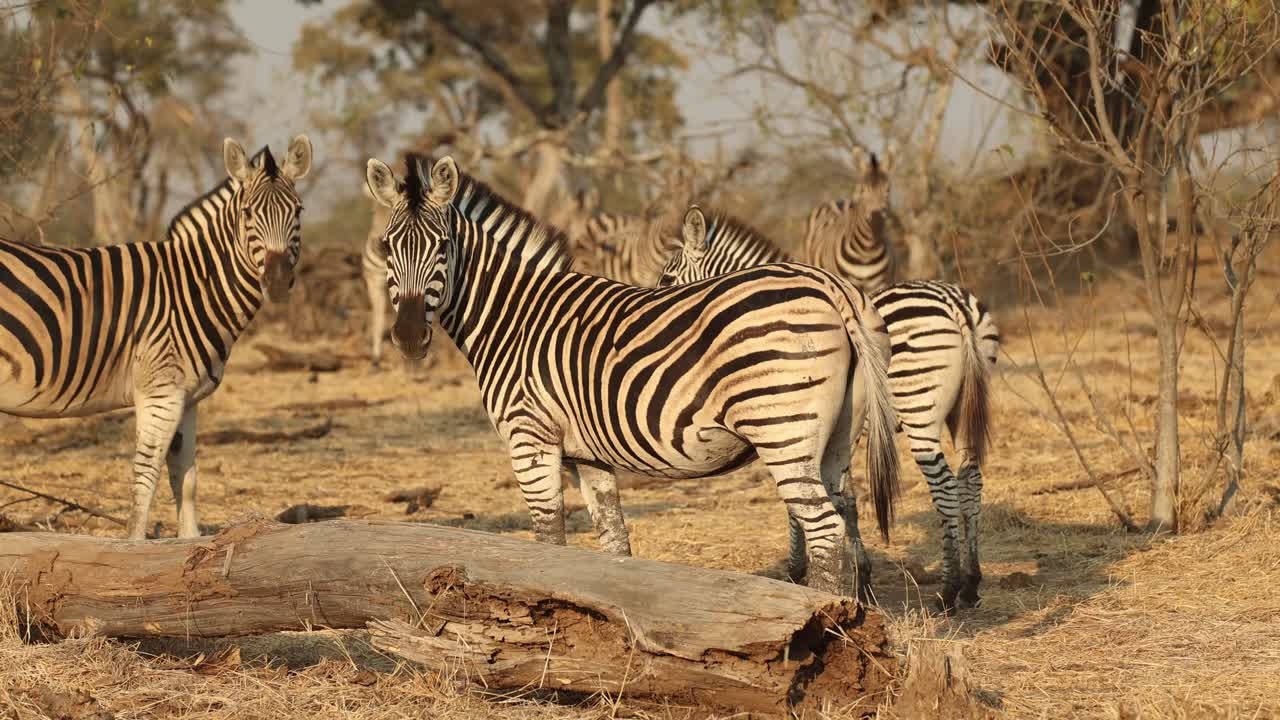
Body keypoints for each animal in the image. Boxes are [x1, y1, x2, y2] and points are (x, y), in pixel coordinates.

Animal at [0, 135, 312, 540]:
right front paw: (134, 546)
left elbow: (186, 478)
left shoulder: (188, 399)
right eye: (247, 214)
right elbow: (144, 480)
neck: (189, 287)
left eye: (298, 211)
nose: (276, 280)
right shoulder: (160, 394)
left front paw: (190, 544)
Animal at [657, 207, 999, 612]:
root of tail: (954, 302)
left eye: (667, 278)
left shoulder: (789, 425)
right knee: (971, 479)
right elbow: (845, 503)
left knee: (946, 486)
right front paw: (860, 580)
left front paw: (802, 573)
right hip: (962, 410)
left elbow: (805, 506)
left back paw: (948, 590)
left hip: (919, 408)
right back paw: (971, 584)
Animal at [805, 147, 897, 295]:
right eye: (862, 189)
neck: (867, 249)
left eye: (887, 189)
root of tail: (839, 201)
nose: (876, 214)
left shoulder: (879, 285)